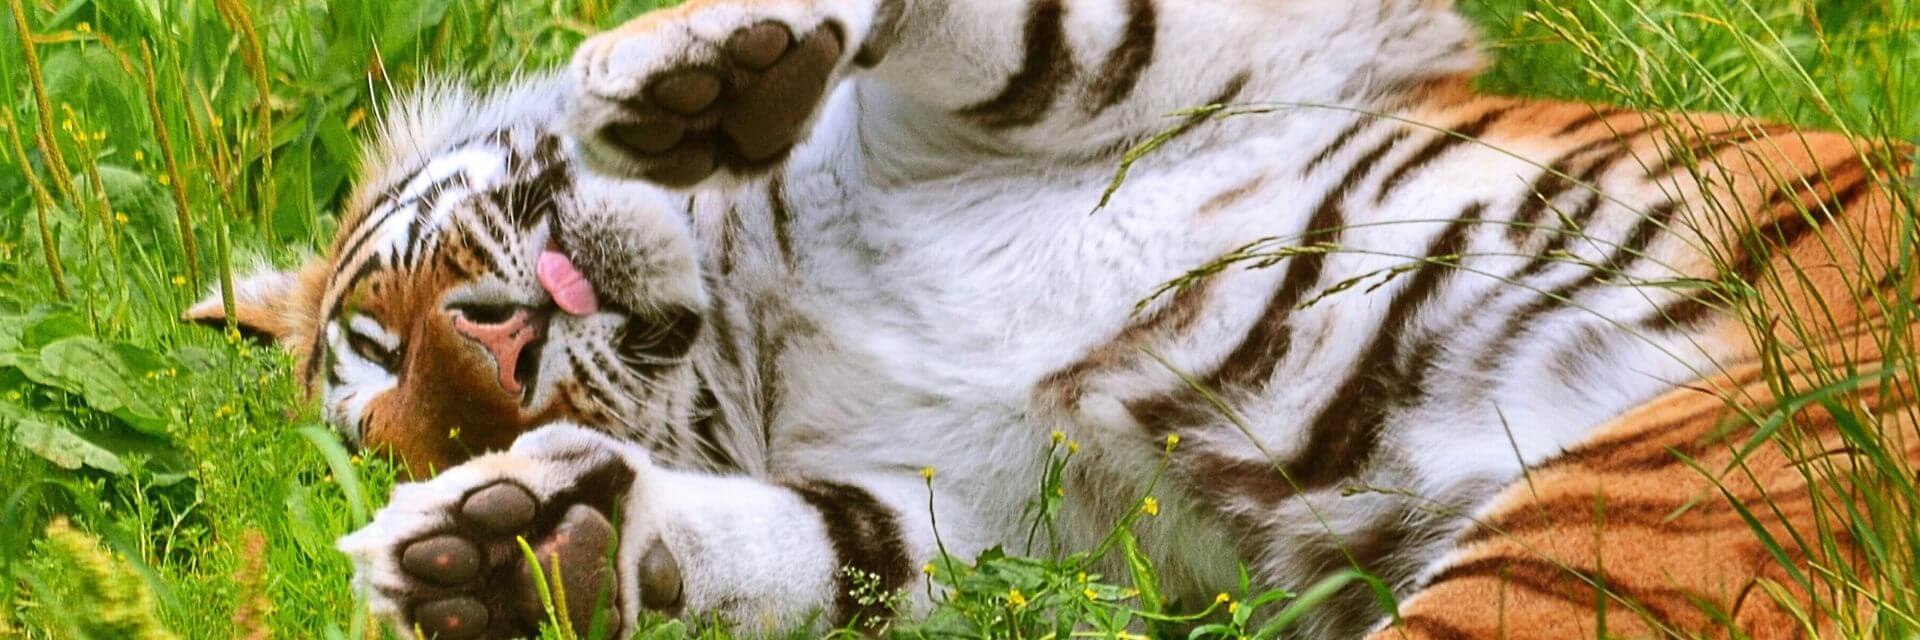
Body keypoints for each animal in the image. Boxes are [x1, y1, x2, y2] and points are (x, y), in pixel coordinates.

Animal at [182, 0, 1918, 637]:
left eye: (383, 347)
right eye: (415, 418)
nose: (498, 363)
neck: (769, 320)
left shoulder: (1250, 54)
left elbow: (1034, 31)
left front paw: (699, 77)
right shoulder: (1032, 526)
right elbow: (826, 551)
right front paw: (523, 559)